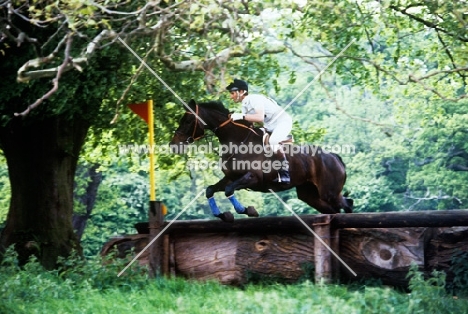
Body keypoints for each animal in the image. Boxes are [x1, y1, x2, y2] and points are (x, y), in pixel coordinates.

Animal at [168, 99, 352, 222]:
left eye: (188, 121)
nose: (173, 145)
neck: (238, 141)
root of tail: (334, 157)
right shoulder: (231, 177)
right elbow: (211, 190)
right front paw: (224, 215)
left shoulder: (253, 178)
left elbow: (228, 190)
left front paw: (249, 210)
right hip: (309, 194)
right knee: (333, 209)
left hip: (329, 192)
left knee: (346, 203)